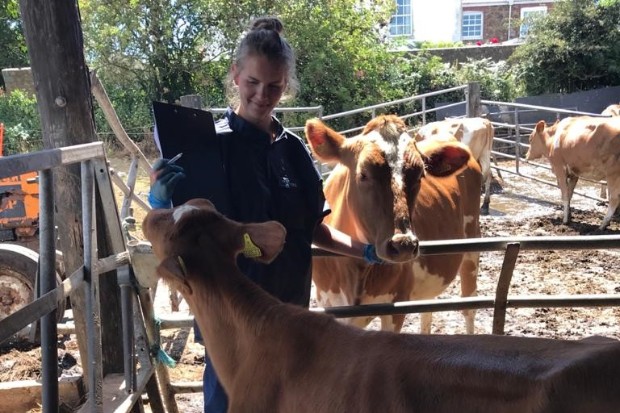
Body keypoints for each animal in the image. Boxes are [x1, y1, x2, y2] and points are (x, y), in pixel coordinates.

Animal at [304, 114, 480, 334]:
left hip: (472, 249)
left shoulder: (396, 306)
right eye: (363, 174)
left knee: (469, 309)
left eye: (420, 175)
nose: (403, 244)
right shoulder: (327, 300)